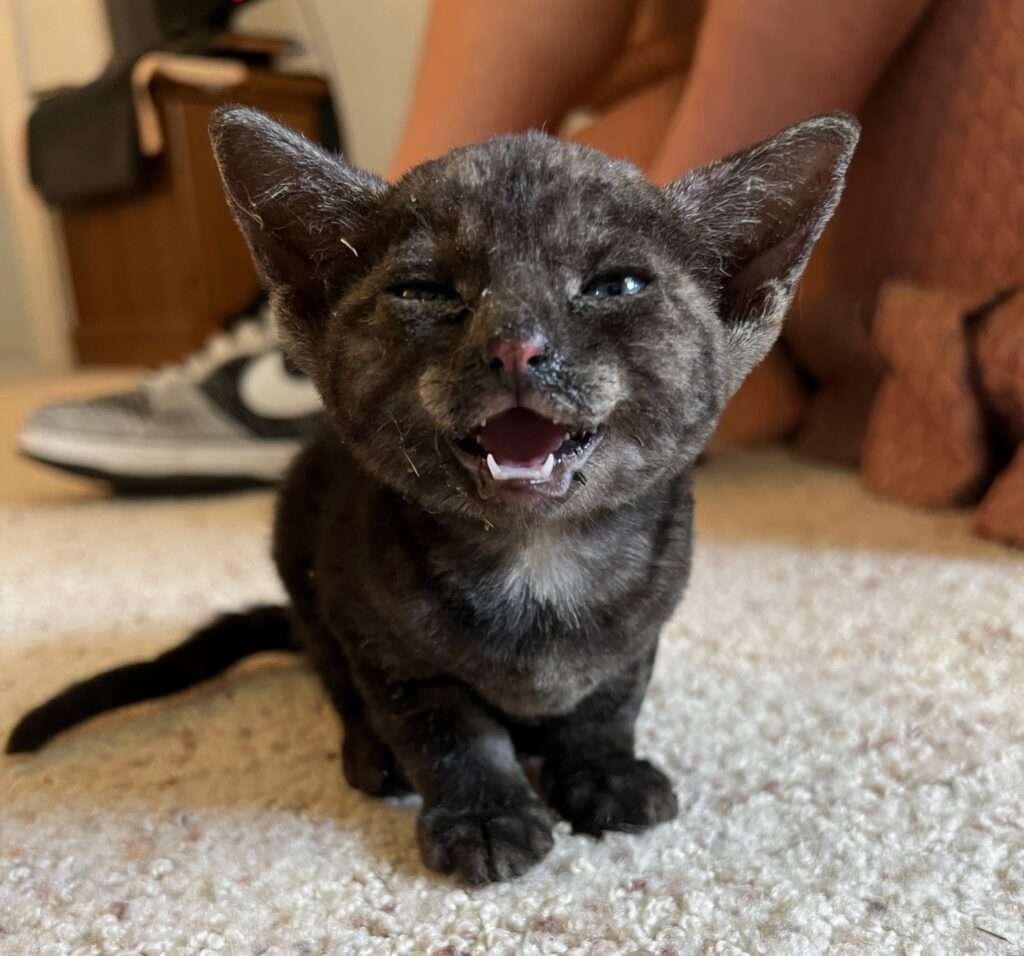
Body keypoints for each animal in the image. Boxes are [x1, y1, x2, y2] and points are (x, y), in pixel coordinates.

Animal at [8, 108, 856, 888]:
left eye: (616, 284)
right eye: (423, 291)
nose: (516, 344)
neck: (538, 564)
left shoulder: (642, 626)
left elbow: (608, 703)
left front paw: (603, 771)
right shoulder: (388, 648)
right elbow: (449, 735)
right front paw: (485, 815)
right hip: (302, 558)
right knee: (332, 675)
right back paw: (371, 754)